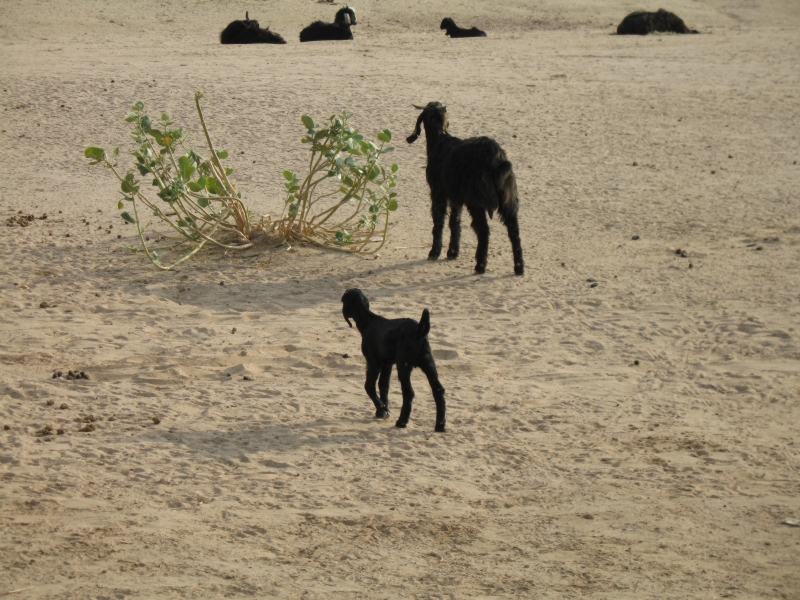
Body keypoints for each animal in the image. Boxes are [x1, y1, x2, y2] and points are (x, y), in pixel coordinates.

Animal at [340, 288, 446, 432]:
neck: (368, 320)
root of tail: (419, 331)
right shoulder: (387, 364)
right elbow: (383, 386)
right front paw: (382, 411)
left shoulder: (374, 363)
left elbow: (369, 386)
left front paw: (381, 408)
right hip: (428, 363)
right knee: (438, 390)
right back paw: (440, 425)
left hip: (404, 365)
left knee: (409, 393)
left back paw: (402, 422)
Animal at [406, 102, 524, 276]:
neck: (440, 141)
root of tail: (496, 158)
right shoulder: (456, 197)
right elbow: (454, 221)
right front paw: (452, 252)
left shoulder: (438, 192)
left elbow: (439, 220)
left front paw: (434, 252)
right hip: (508, 198)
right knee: (514, 231)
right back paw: (519, 267)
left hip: (476, 201)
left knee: (483, 231)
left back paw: (480, 265)